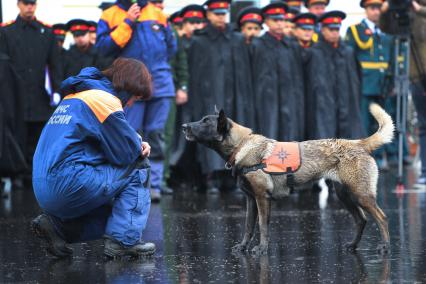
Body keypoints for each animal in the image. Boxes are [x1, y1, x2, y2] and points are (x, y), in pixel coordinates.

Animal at [182, 103, 392, 255]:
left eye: (205, 122)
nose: (183, 126)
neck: (241, 145)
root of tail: (359, 143)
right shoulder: (251, 200)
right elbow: (248, 227)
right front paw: (243, 247)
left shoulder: (262, 198)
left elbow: (262, 226)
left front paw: (262, 249)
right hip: (345, 196)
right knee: (361, 220)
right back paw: (353, 245)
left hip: (361, 195)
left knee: (382, 218)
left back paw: (385, 247)